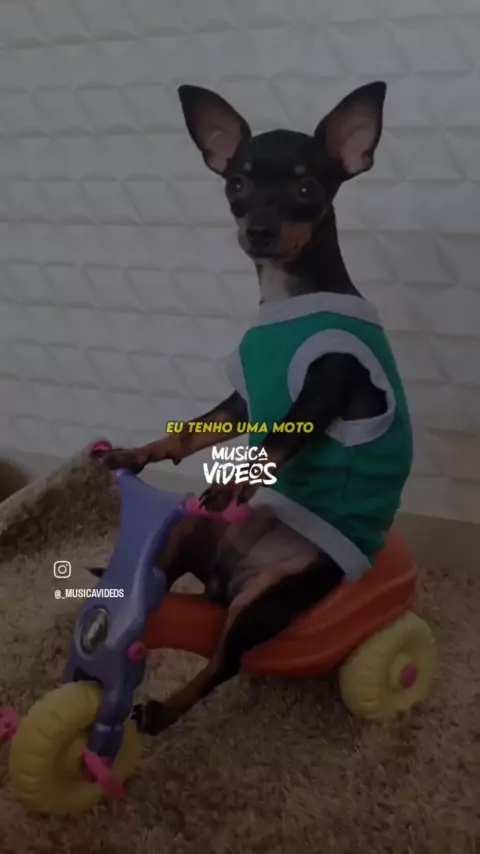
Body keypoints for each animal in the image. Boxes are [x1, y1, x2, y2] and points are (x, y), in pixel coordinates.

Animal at [92, 81, 413, 735]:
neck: (287, 296)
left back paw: (163, 709)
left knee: (224, 664)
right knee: (163, 581)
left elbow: (276, 442)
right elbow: (191, 432)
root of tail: (226, 579)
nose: (260, 230)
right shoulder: (243, 401)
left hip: (269, 601)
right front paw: (138, 453)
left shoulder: (325, 387)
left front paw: (233, 481)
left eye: (307, 190)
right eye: (236, 185)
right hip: (192, 536)